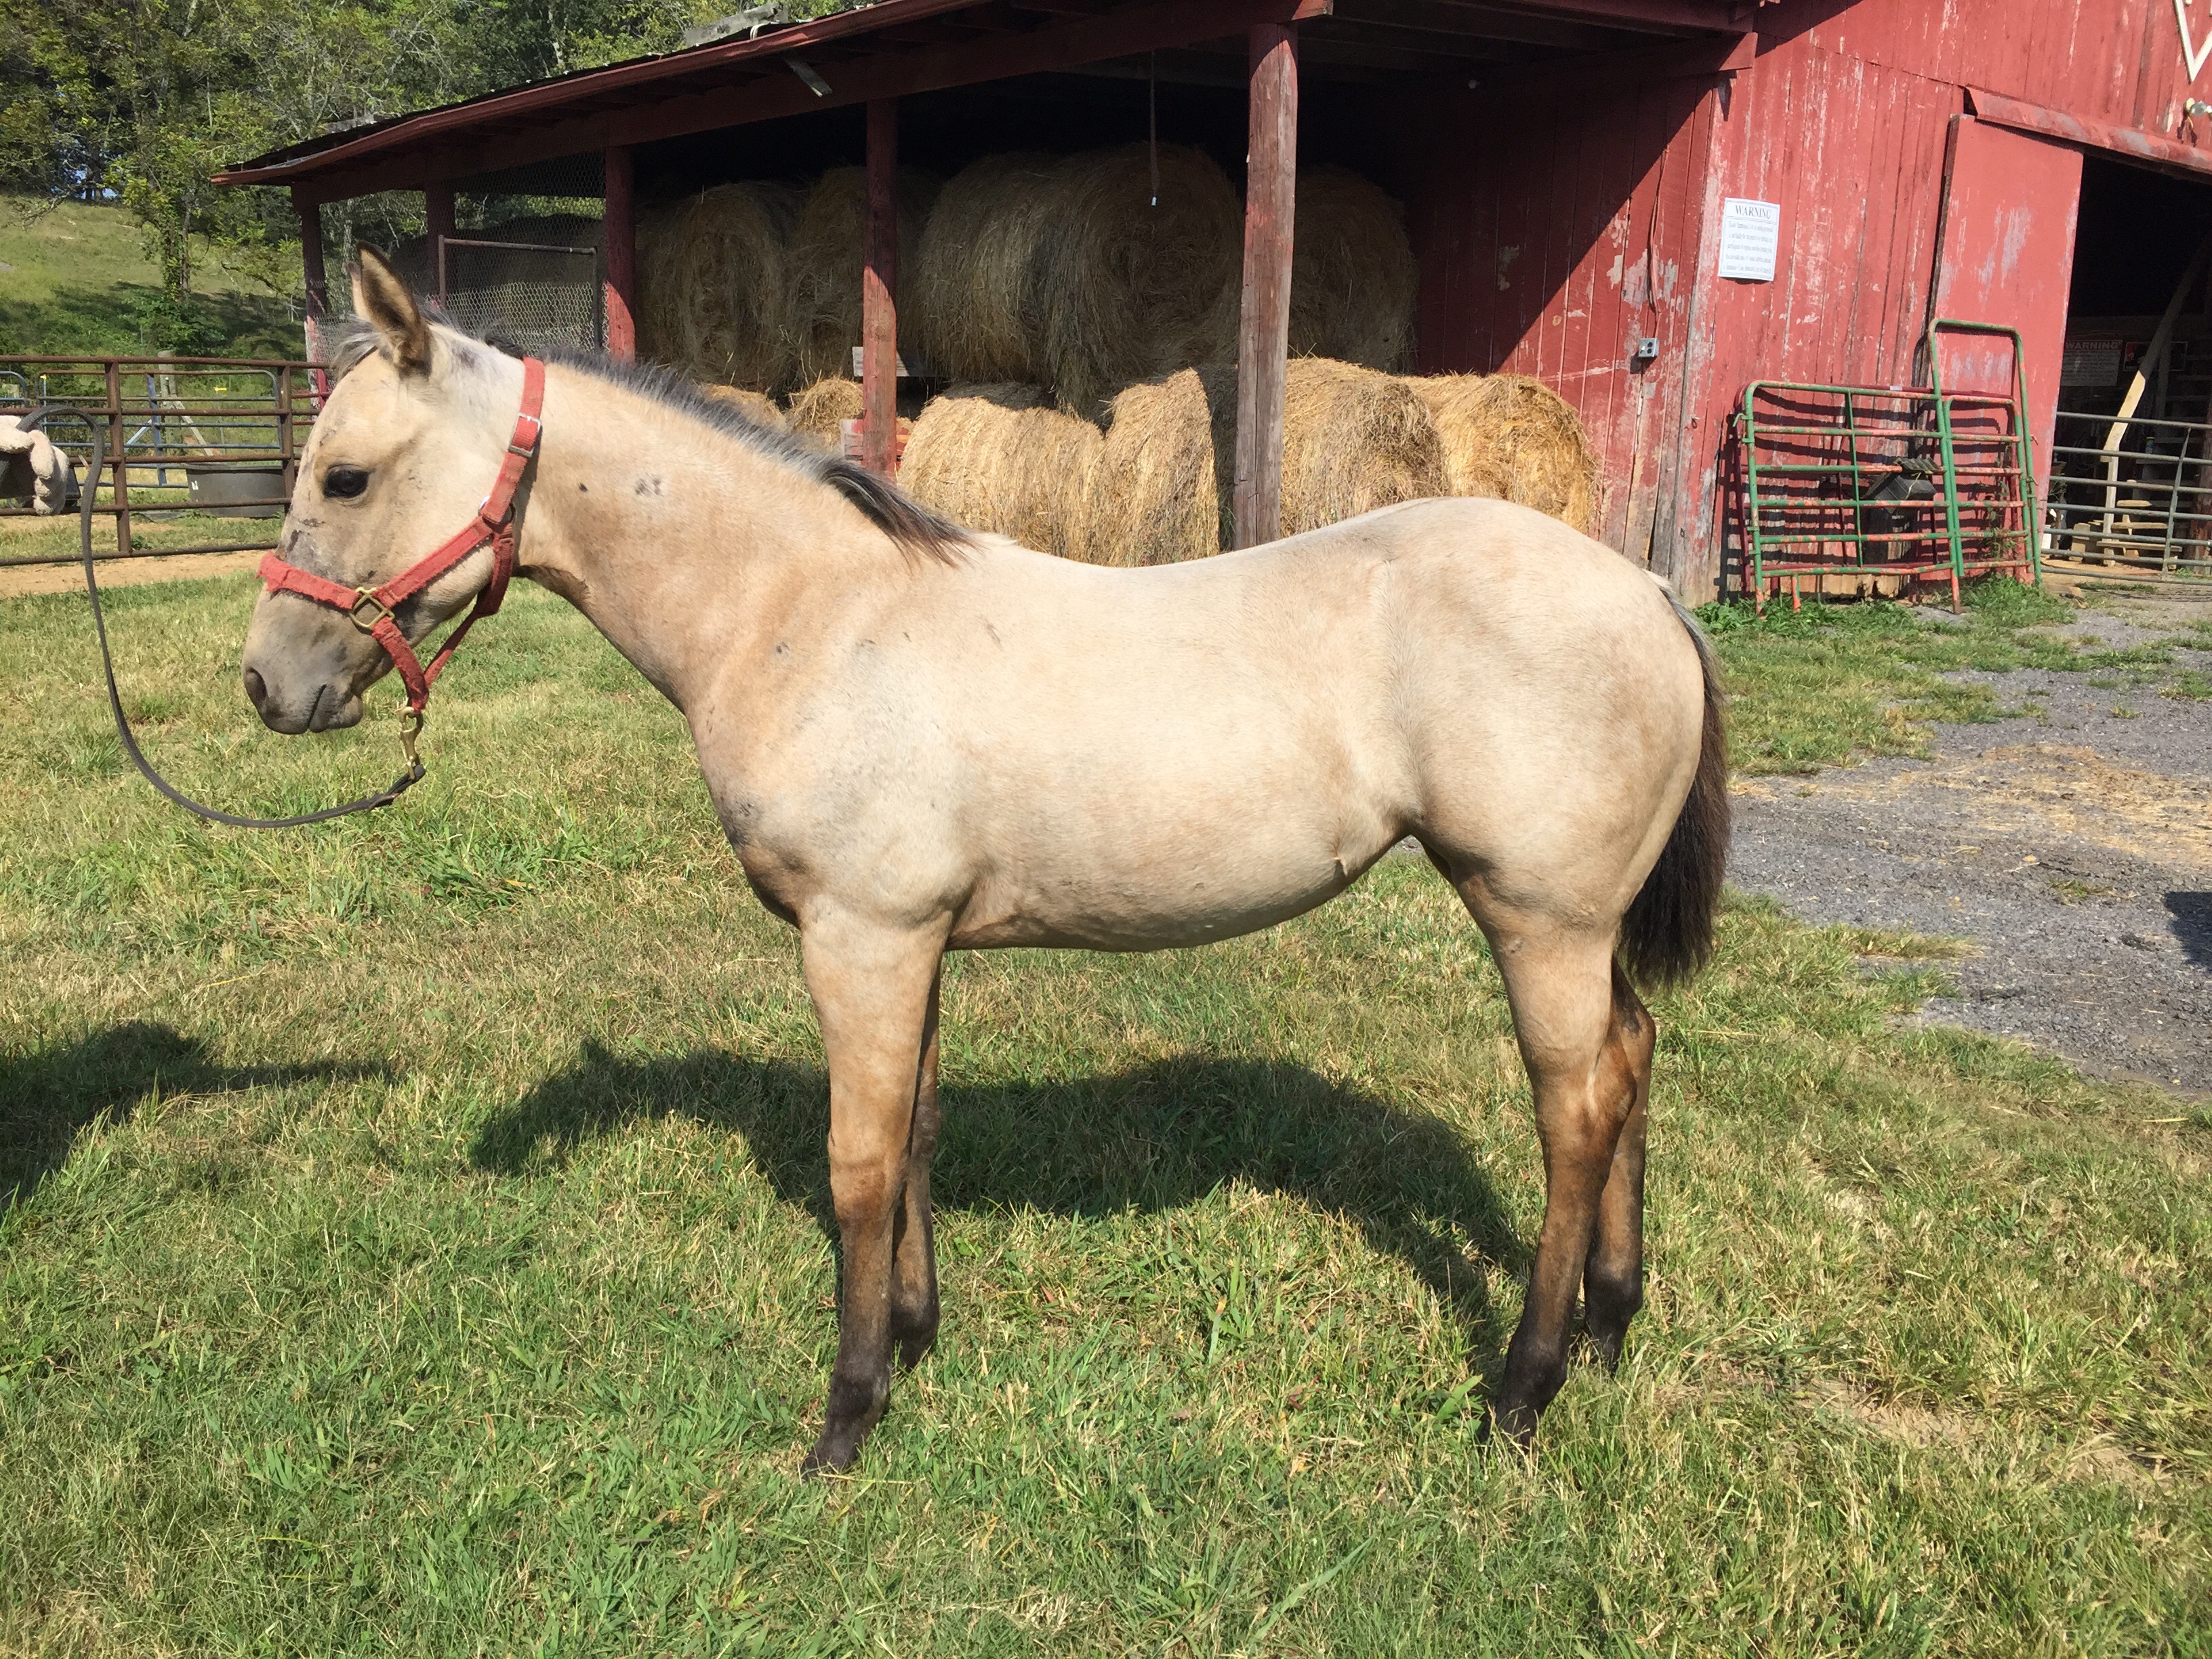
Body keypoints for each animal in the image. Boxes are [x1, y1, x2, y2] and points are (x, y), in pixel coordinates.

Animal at [240, 249, 1728, 1473]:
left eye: (345, 476)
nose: (268, 686)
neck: (809, 615)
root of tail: (1648, 591)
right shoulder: (914, 944)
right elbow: (915, 1132)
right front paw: (913, 1337)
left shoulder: (862, 936)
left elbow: (857, 1158)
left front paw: (845, 1417)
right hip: (1579, 930)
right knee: (1633, 1059)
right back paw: (1609, 1330)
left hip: (1537, 920)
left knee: (1575, 1112)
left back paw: (1522, 1390)